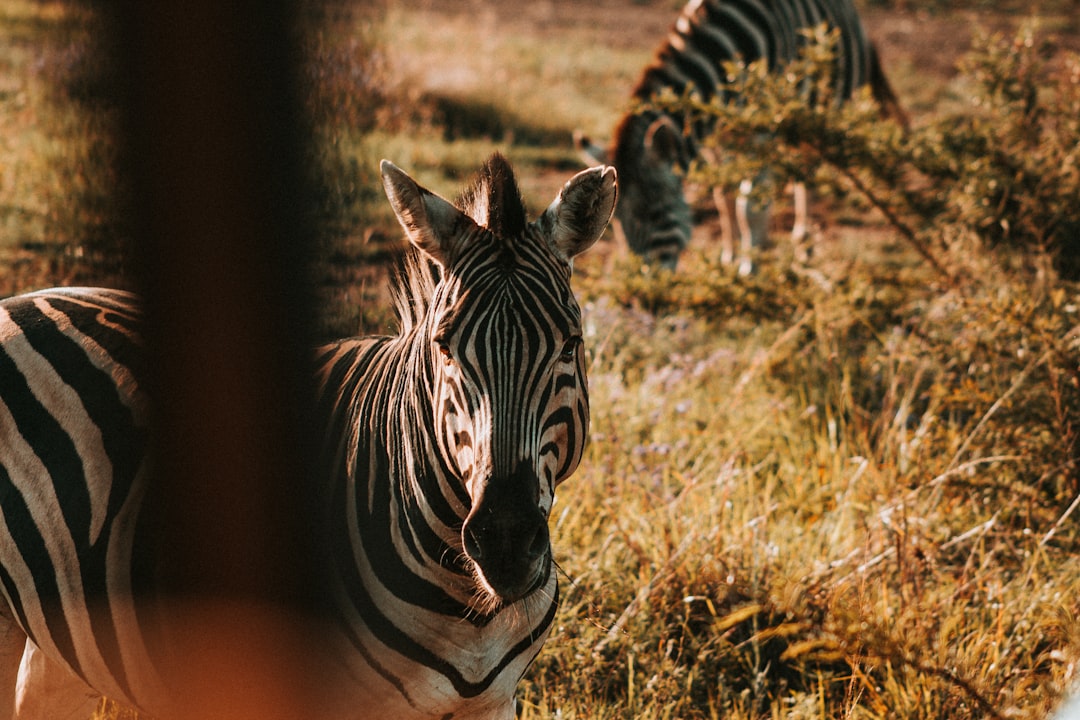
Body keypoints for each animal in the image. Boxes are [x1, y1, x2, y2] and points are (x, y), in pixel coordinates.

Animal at [0, 153, 617, 720]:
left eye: (570, 345)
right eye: (444, 348)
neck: (469, 609)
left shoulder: (493, 703)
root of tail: (21, 299)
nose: (506, 542)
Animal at [578, 0, 907, 273]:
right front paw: (729, 259)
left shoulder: (761, 134)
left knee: (807, 179)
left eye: (657, 215)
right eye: (616, 223)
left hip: (822, 115)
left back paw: (804, 251)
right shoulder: (715, 140)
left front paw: (749, 269)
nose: (643, 294)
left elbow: (748, 208)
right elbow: (723, 201)